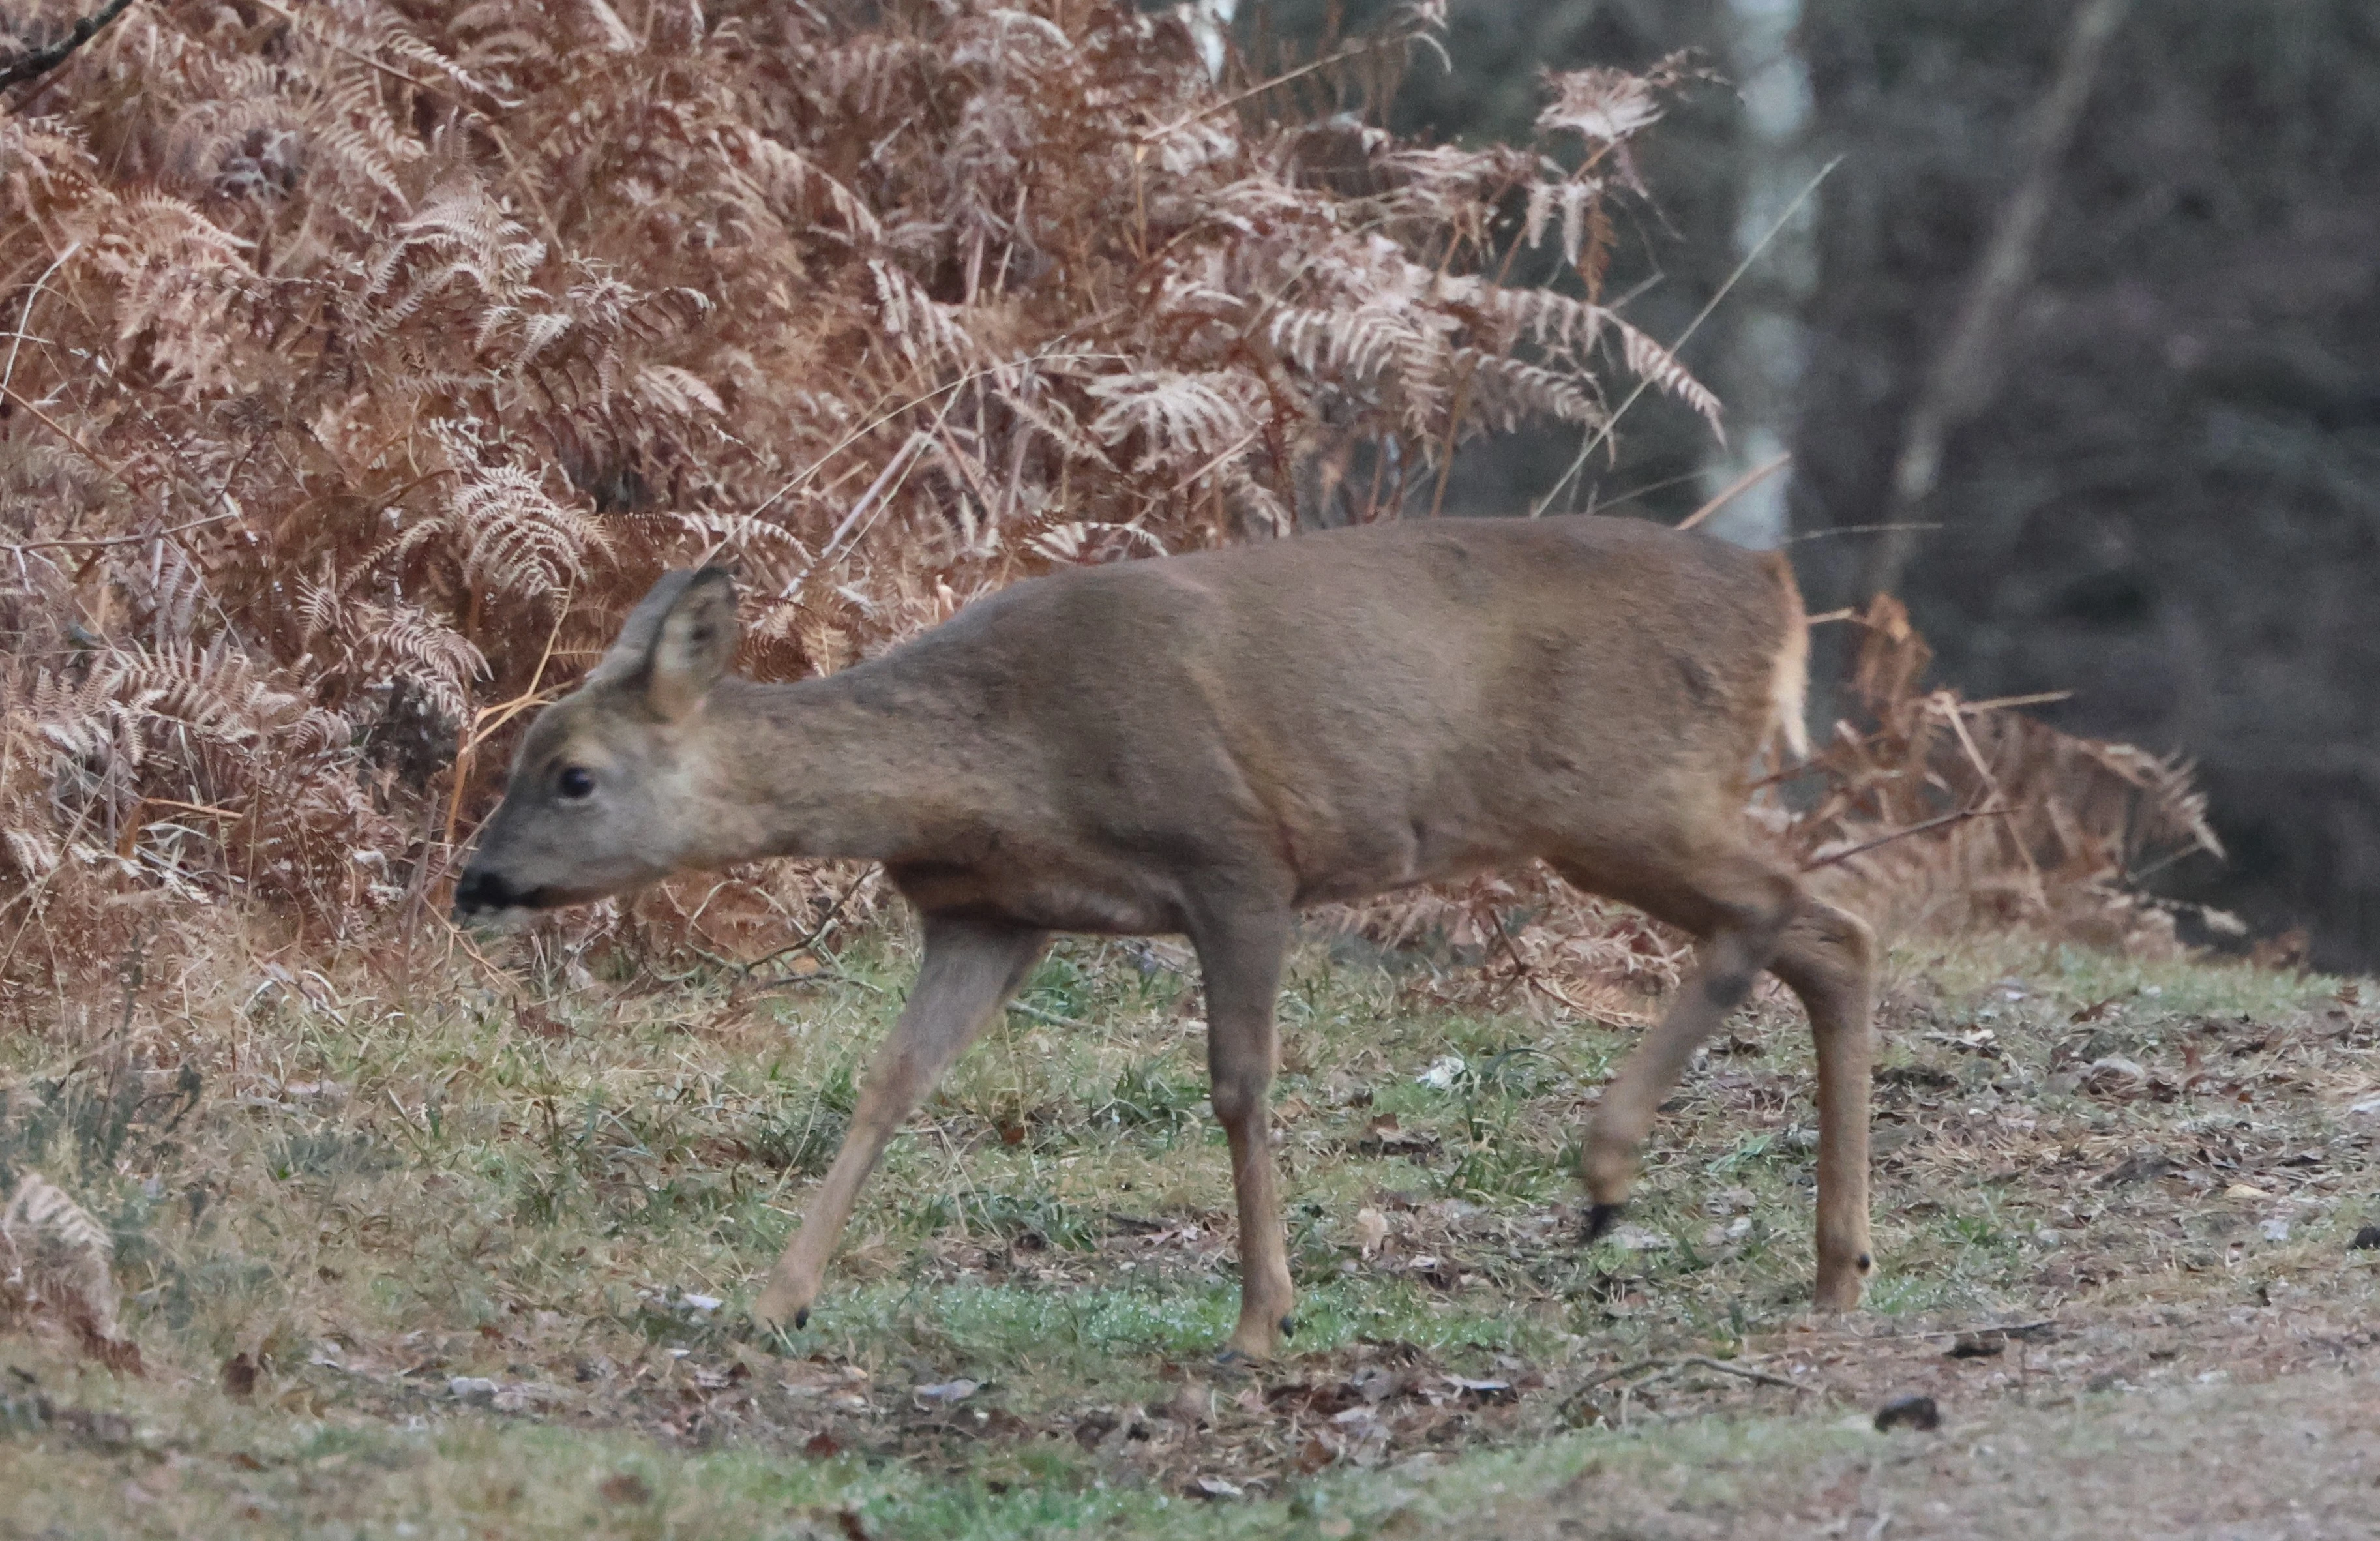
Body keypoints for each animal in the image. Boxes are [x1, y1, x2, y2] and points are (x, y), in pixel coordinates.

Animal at [452, 514, 1877, 1361]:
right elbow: (891, 1081)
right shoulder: (989, 910)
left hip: (1624, 794)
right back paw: (1832, 1266)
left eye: (573, 775)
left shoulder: (1236, 857)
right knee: (1830, 936)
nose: (476, 880)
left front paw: (1260, 1315)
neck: (997, 760)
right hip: (1627, 810)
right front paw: (775, 1293)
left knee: (1795, 916)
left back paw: (1610, 1165)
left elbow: (1238, 1084)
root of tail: (1777, 589)